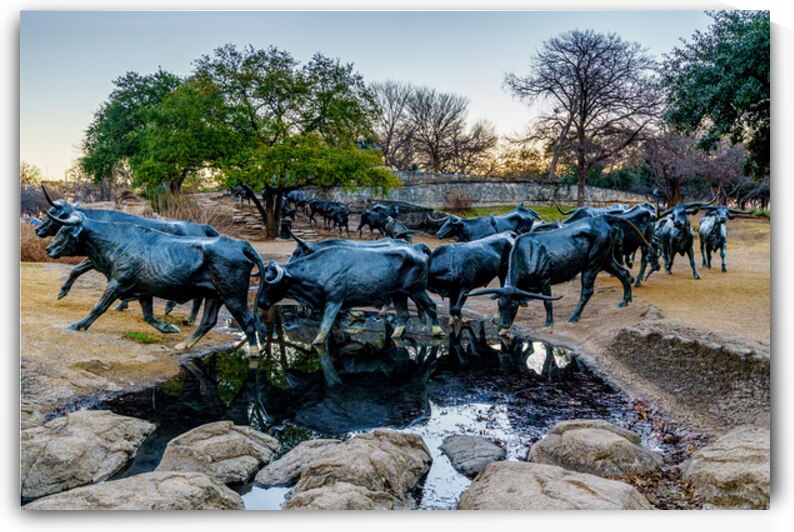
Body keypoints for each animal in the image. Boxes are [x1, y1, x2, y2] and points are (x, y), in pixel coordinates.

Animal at [36, 186, 214, 323]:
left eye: (52, 212)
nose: (37, 230)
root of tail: (201, 226)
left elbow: (76, 269)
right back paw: (171, 307)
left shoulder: (97, 259)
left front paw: (62, 292)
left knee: (199, 296)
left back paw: (189, 318)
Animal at [43, 211, 266, 353]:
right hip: (215, 295)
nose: (48, 249)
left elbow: (99, 307)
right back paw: (184, 344)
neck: (115, 242)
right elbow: (148, 316)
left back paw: (255, 353)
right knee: (207, 321)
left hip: (233, 294)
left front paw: (78, 324)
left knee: (248, 320)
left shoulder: (117, 283)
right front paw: (168, 328)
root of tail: (241, 245)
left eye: (64, 231)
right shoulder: (143, 290)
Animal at [467, 215, 650, 334]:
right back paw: (625, 301)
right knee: (624, 274)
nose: (504, 326)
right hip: (606, 259)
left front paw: (549, 323)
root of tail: (602, 218)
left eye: (513, 307)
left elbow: (547, 302)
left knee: (587, 290)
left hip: (593, 263)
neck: (525, 253)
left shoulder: (544, 279)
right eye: (500, 305)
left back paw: (574, 317)